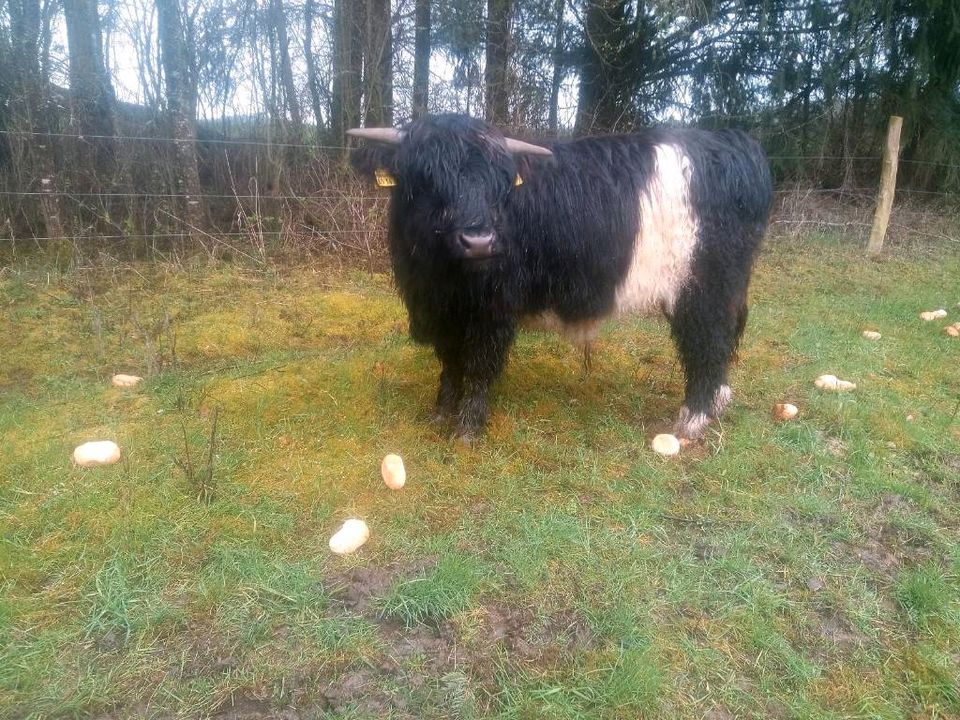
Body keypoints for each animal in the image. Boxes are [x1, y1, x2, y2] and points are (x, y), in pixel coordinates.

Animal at [348, 115, 776, 442]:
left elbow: (479, 366)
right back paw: (717, 401)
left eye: (499, 183)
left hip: (704, 288)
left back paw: (693, 419)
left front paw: (468, 429)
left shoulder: (492, 312)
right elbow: (451, 362)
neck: (439, 276)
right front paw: (440, 412)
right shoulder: (440, 311)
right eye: (424, 177)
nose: (479, 240)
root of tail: (733, 143)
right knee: (724, 338)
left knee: (707, 343)